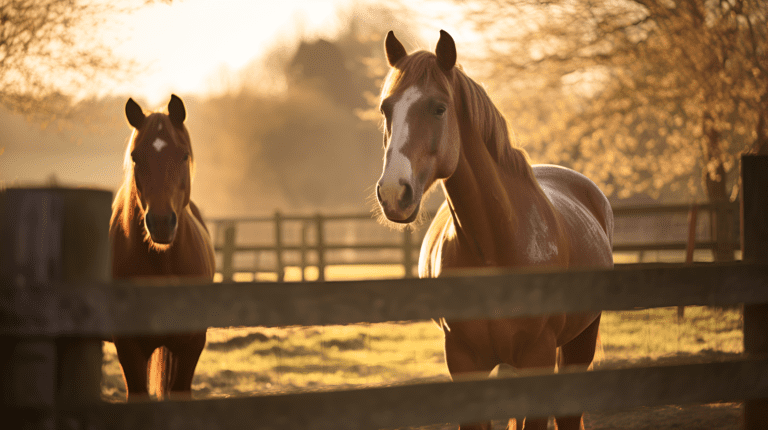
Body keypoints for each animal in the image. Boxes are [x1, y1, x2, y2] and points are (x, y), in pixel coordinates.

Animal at [375, 30, 614, 430]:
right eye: (386, 109)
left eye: (438, 108)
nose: (394, 192)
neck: (495, 244)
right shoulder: (463, 361)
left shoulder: (538, 358)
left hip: (581, 338)